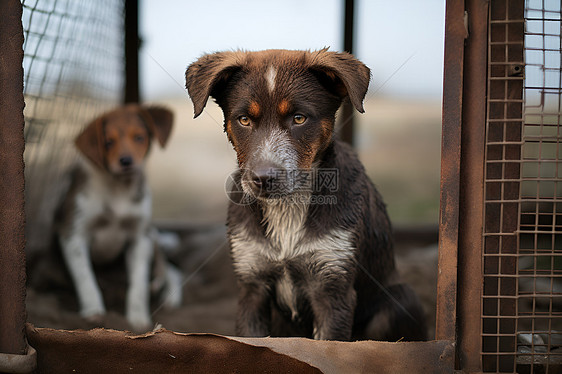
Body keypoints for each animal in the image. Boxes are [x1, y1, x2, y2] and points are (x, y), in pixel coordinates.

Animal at [53, 103, 180, 330]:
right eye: (108, 142)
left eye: (139, 137)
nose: (126, 161)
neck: (119, 188)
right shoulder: (73, 234)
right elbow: (85, 278)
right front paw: (93, 311)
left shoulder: (140, 237)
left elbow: (138, 284)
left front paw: (138, 319)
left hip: (152, 237)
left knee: (170, 270)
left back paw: (168, 295)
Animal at [184, 49, 424, 342]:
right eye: (244, 120)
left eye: (299, 118)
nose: (264, 179)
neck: (288, 208)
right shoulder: (252, 285)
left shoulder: (332, 286)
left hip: (399, 300)